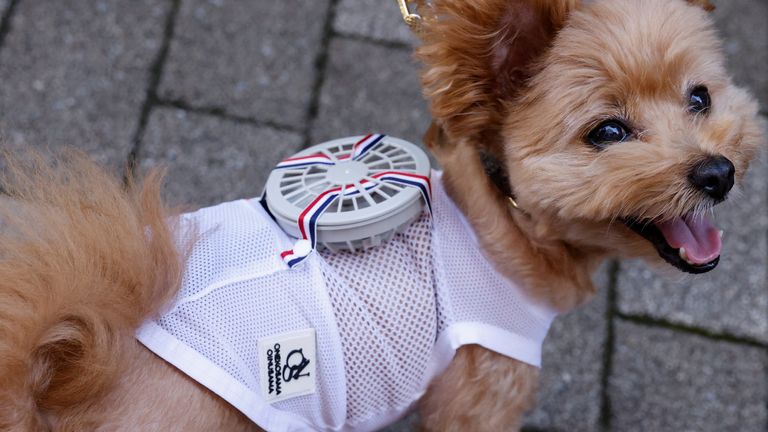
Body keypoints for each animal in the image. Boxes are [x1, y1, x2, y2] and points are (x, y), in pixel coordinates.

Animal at [0, 0, 764, 430]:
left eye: (700, 97)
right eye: (607, 131)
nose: (717, 173)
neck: (498, 226)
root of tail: (65, 376)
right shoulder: (475, 400)